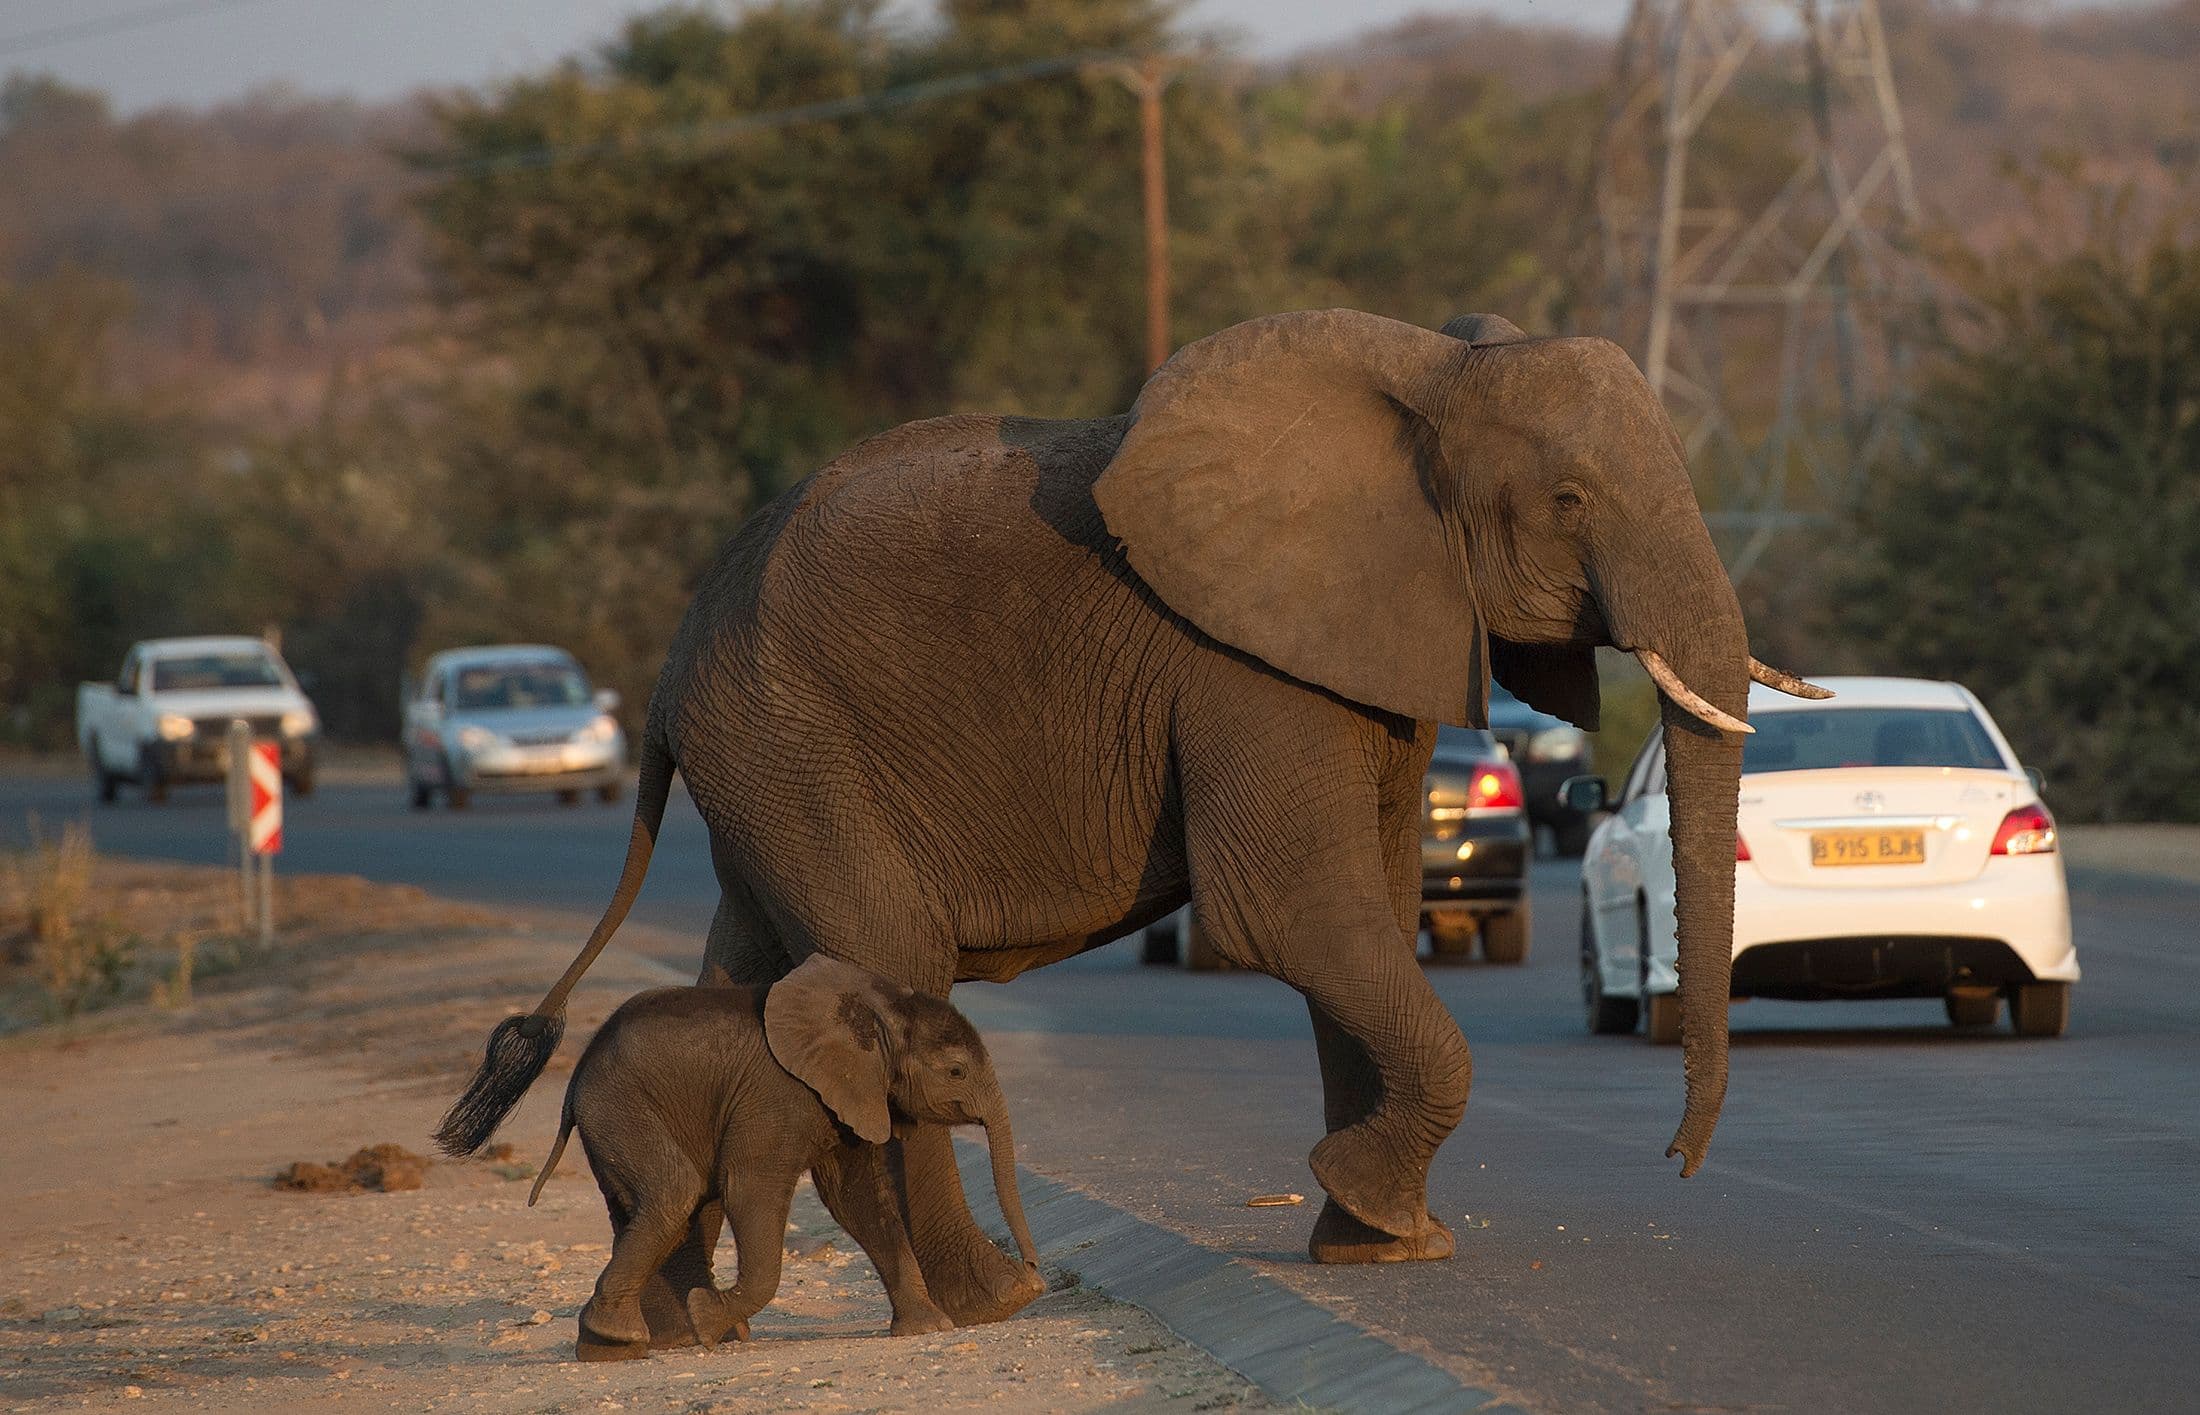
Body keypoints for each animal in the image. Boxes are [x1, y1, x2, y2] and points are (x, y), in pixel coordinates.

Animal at [525, 955, 1040, 1360]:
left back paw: (611, 1346)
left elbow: (854, 1197)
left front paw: (928, 1327)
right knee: (677, 1192)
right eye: (956, 1072)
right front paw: (706, 1318)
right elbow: (750, 1188)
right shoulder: (778, 1094)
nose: (1035, 1278)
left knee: (656, 1205)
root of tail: (577, 1074)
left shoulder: (846, 1095)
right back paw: (639, 1335)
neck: (880, 1009)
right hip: (621, 1108)